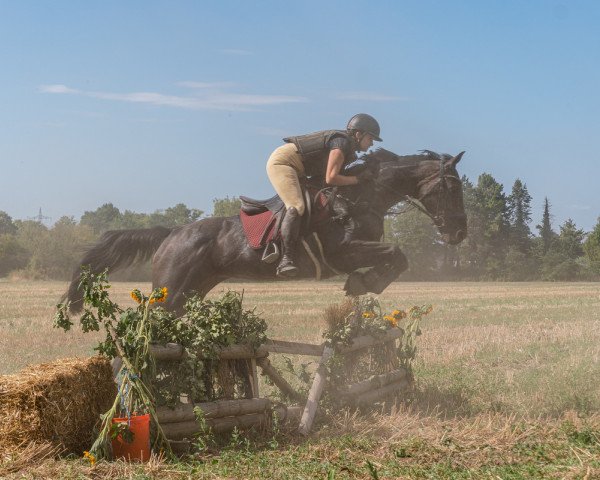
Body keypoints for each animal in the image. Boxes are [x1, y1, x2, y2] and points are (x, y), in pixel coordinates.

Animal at [64, 150, 468, 316]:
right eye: (451, 187)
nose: (460, 234)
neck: (360, 197)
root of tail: (173, 231)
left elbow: (395, 258)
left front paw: (363, 283)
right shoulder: (344, 252)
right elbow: (398, 254)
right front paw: (363, 283)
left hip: (191, 290)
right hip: (172, 289)